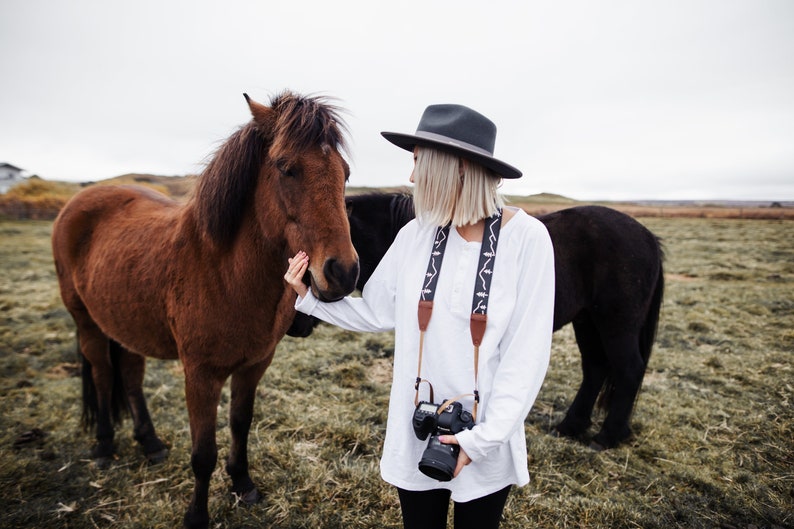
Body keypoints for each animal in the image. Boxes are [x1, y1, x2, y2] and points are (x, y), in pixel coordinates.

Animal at [51, 92, 358, 528]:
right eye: (287, 168)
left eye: (344, 173)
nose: (343, 272)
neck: (223, 270)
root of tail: (77, 204)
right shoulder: (200, 375)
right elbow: (202, 453)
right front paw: (196, 515)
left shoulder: (254, 365)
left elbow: (240, 424)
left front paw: (243, 484)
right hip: (87, 323)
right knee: (102, 373)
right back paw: (105, 447)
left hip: (123, 322)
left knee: (129, 375)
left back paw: (150, 443)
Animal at [286, 192, 664, 448]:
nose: (294, 326)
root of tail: (647, 237)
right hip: (588, 321)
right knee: (595, 369)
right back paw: (571, 426)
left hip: (615, 323)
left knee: (627, 369)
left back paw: (608, 436)